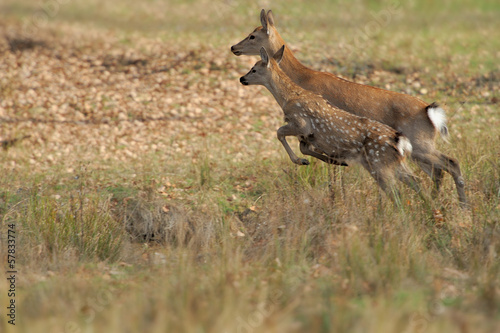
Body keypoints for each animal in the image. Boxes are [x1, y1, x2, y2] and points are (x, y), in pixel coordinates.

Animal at [240, 45, 420, 201]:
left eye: (254, 69)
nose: (242, 78)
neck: (287, 98)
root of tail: (400, 141)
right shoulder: (307, 135)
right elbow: (305, 148)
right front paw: (333, 161)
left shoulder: (301, 123)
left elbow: (279, 133)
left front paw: (301, 161)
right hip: (396, 164)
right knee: (416, 182)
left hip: (378, 164)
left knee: (396, 193)